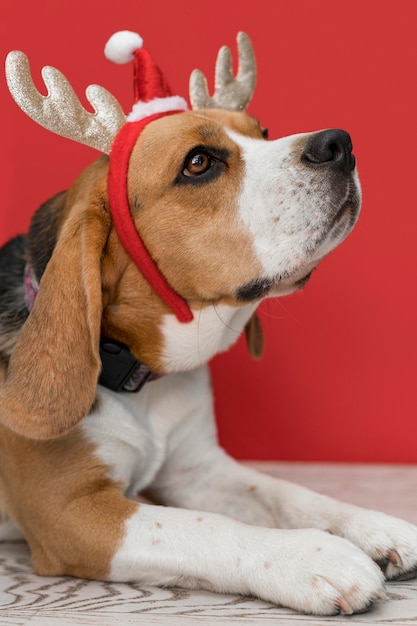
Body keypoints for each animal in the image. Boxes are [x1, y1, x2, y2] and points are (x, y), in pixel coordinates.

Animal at [0, 31, 416, 612]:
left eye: (262, 132)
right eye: (199, 163)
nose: (339, 142)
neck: (141, 381)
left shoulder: (201, 471)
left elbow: (285, 492)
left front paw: (369, 524)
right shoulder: (69, 511)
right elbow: (204, 527)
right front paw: (316, 556)